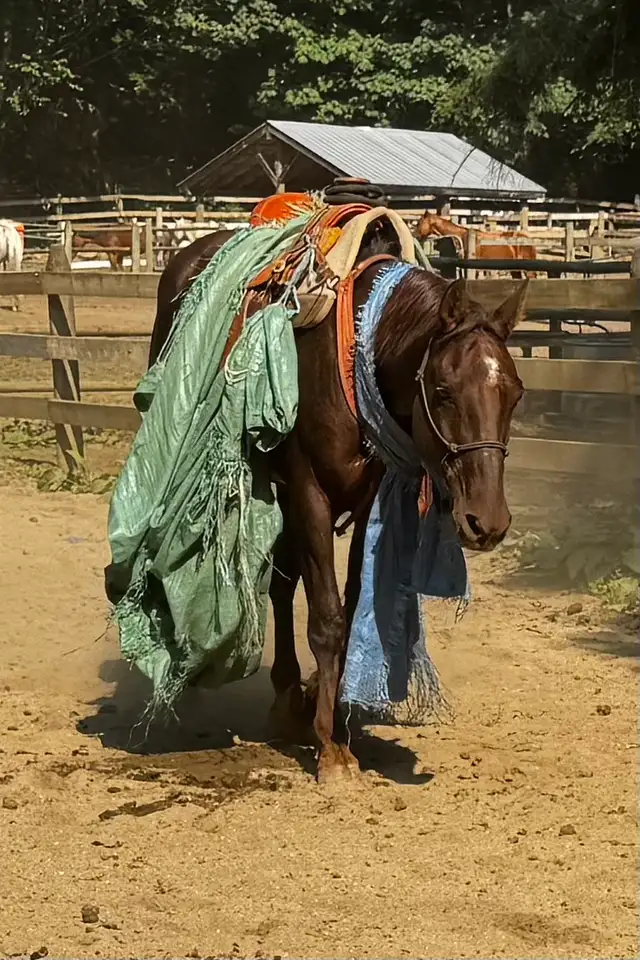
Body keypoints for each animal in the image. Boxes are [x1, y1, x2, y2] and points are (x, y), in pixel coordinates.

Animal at [148, 220, 526, 783]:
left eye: (515, 394)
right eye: (443, 390)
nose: (488, 521)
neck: (356, 355)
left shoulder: (365, 501)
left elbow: (346, 613)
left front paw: (332, 721)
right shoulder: (310, 493)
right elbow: (326, 618)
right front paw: (331, 748)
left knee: (282, 587)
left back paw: (289, 698)